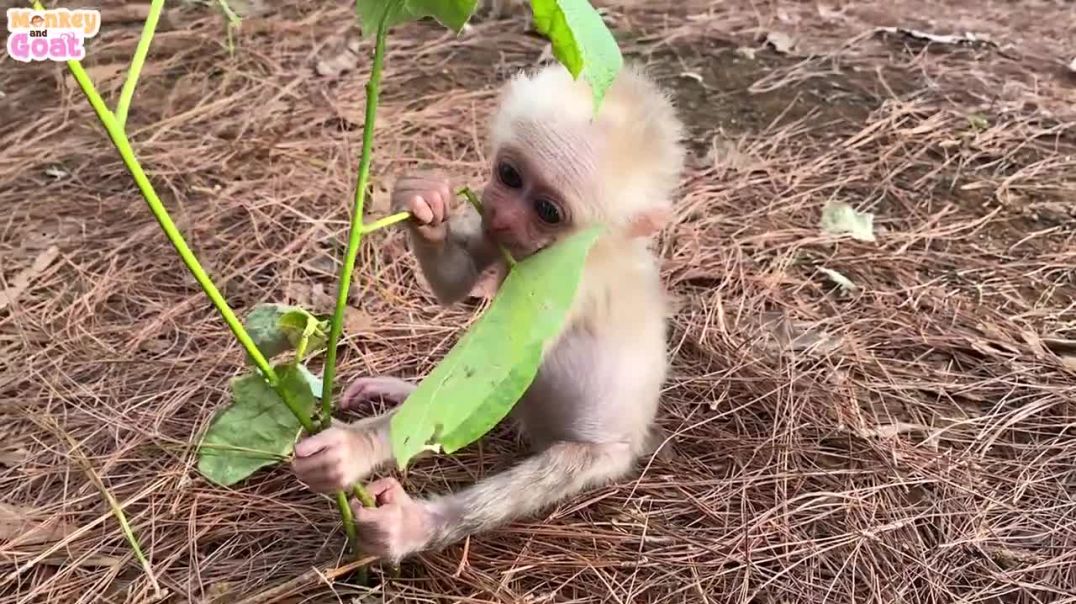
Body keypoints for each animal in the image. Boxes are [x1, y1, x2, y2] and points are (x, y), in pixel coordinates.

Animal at [292, 62, 685, 562]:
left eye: (547, 210)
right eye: (510, 175)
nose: (502, 215)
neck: (586, 249)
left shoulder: (562, 284)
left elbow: (491, 363)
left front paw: (351, 449)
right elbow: (457, 290)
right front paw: (427, 203)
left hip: (609, 454)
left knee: (559, 463)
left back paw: (410, 527)